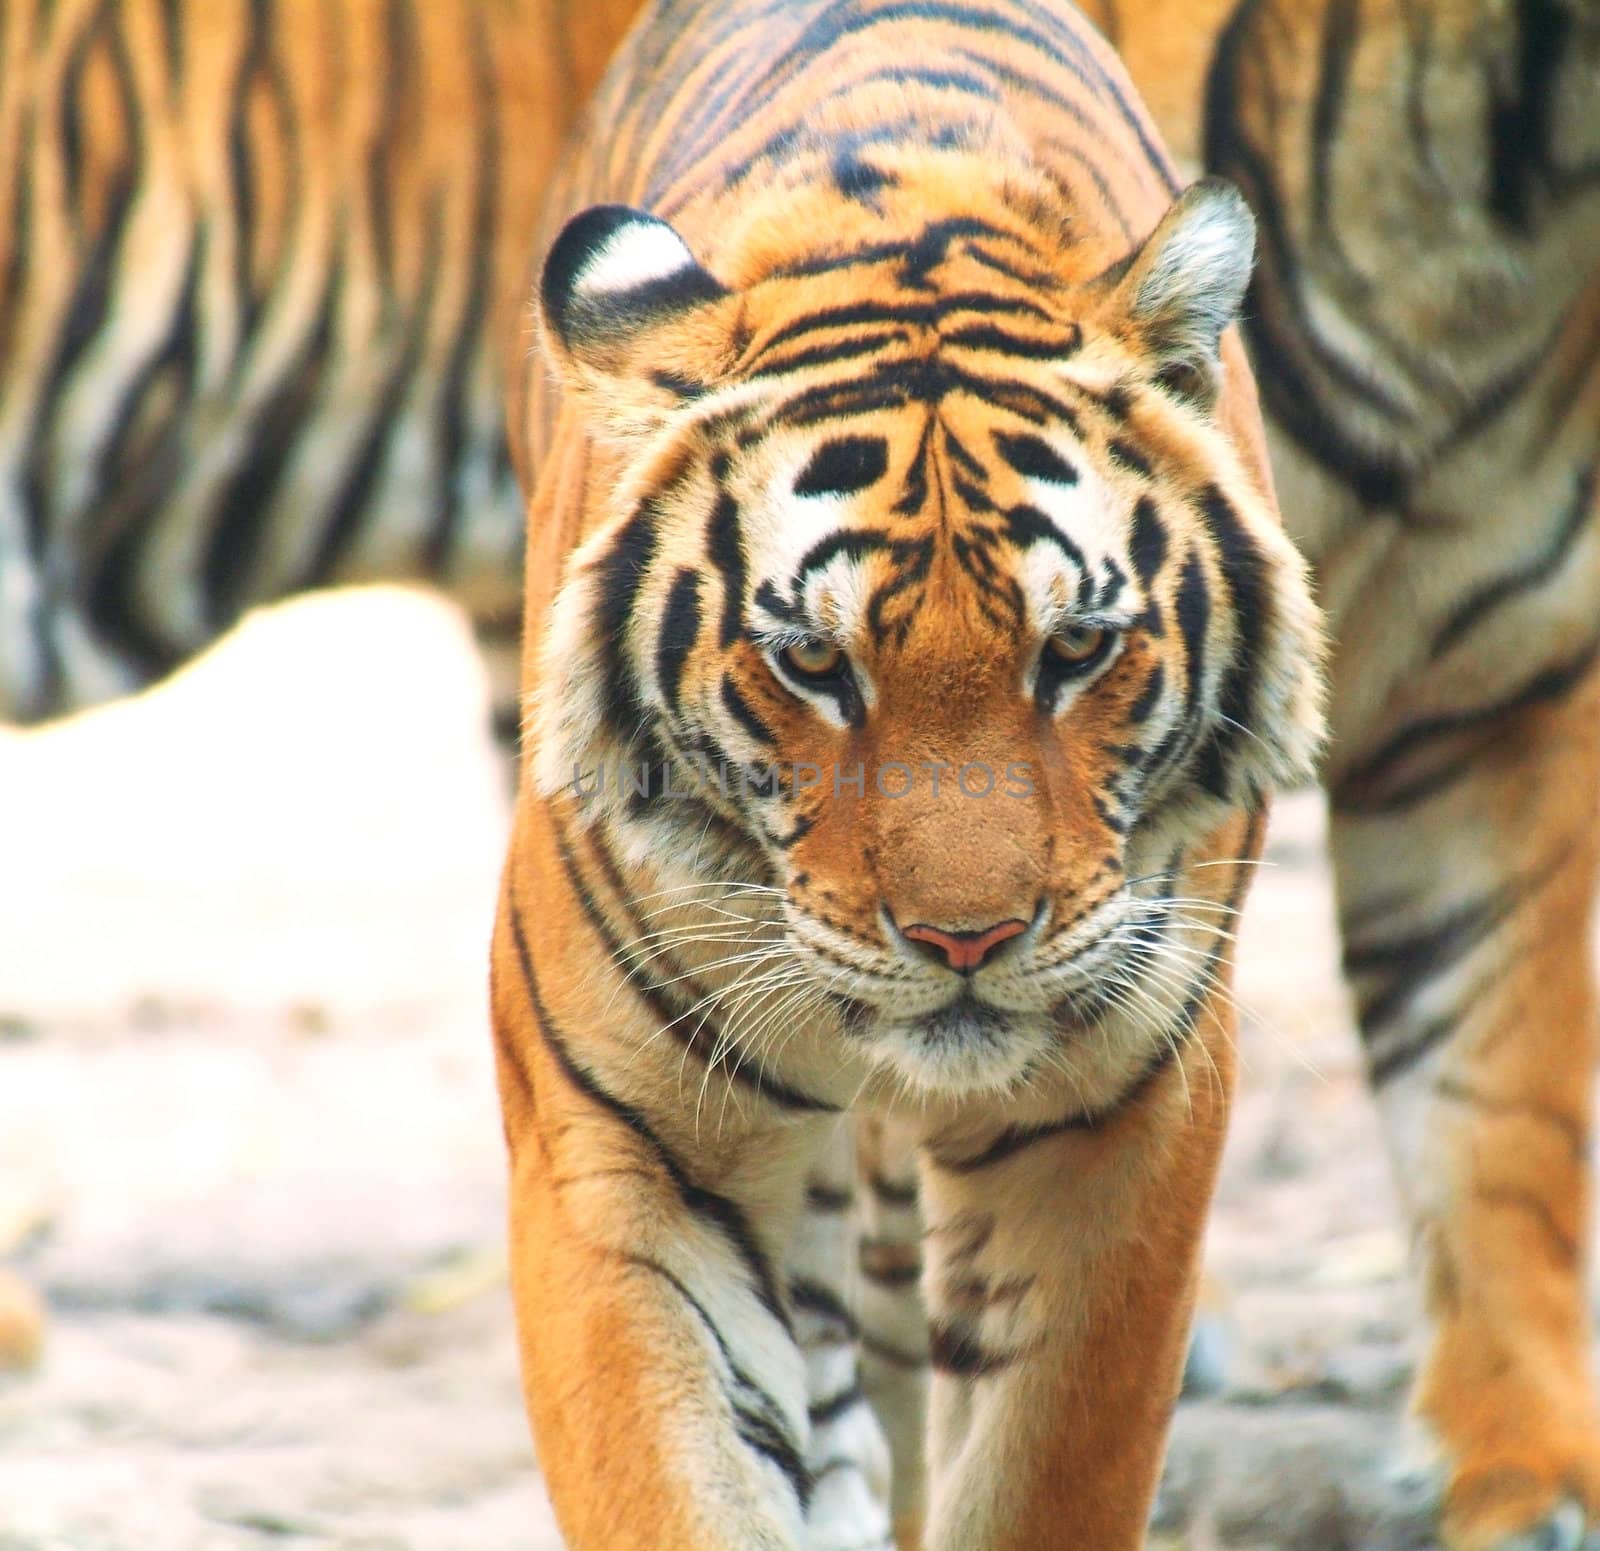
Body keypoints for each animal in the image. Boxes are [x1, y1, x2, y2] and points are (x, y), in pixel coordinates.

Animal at [492, 3, 1331, 1549]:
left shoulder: (1118, 1124)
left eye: (1076, 648)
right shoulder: (622, 1147)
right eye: (814, 664)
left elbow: (1042, 1471)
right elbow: (679, 1477)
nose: (966, 943)